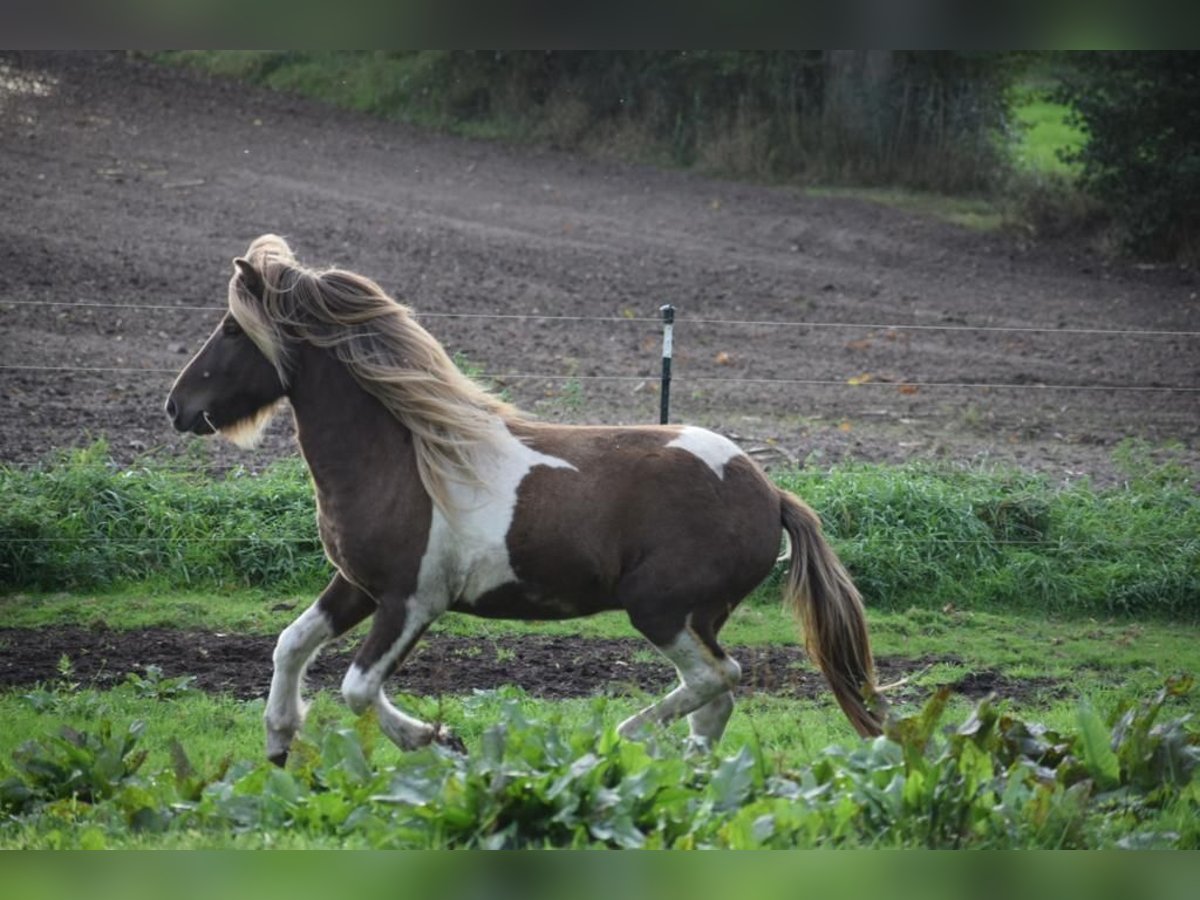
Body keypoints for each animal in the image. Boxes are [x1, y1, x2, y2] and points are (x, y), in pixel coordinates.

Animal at [166, 236, 883, 763]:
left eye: (232, 330)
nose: (177, 407)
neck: (403, 459)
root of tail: (771, 492)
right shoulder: (358, 586)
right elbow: (290, 643)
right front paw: (278, 743)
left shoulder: (411, 600)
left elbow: (358, 687)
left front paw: (437, 741)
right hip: (698, 616)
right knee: (716, 700)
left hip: (662, 609)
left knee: (718, 678)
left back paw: (624, 737)